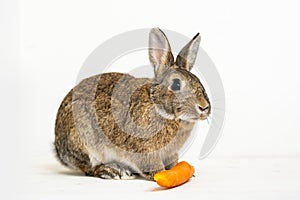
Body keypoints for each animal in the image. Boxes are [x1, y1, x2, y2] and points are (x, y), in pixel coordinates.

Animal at [54, 27, 211, 180]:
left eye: (198, 81)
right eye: (176, 84)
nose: (204, 107)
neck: (157, 105)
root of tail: (58, 148)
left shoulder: (170, 154)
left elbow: (173, 162)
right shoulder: (144, 149)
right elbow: (152, 165)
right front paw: (160, 174)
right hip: (85, 141)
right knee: (88, 167)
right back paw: (112, 171)